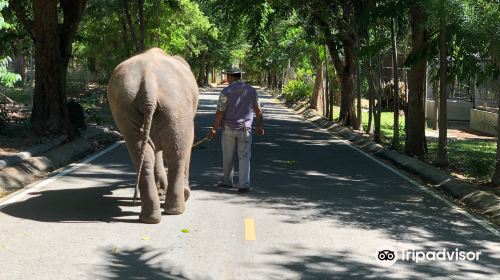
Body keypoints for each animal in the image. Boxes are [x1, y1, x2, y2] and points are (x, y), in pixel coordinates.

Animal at [108, 48, 199, 223]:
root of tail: (148, 81)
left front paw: (161, 191)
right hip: (176, 107)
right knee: (178, 154)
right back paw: (176, 209)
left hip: (126, 107)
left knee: (141, 152)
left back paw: (150, 218)